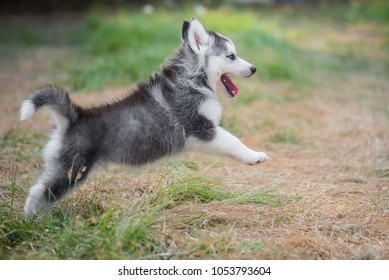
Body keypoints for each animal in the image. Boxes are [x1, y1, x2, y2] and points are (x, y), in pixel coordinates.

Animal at [19, 17, 266, 217]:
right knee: (39, 191)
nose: (254, 68)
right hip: (71, 169)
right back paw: (31, 222)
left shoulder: (201, 135)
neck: (193, 79)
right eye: (231, 56)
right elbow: (233, 140)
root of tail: (74, 117)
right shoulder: (201, 128)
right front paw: (254, 156)